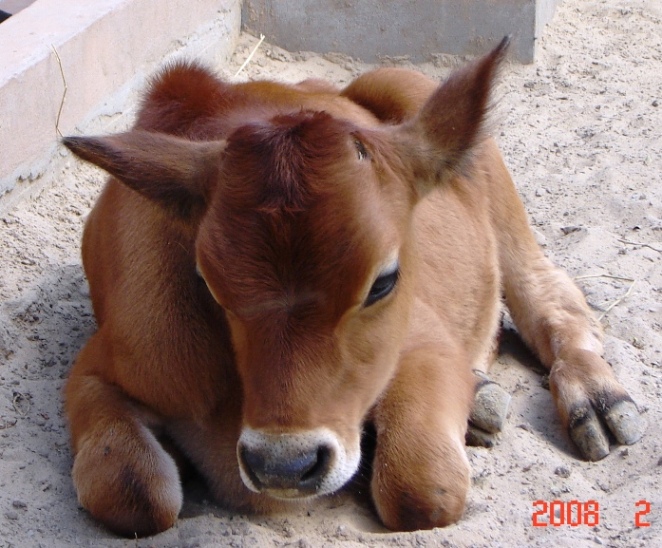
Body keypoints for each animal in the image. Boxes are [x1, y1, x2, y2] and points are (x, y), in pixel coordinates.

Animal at [62, 40, 644, 536]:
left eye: (384, 281)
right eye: (208, 283)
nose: (284, 464)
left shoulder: (425, 344)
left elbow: (422, 486)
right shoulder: (102, 366)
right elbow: (132, 492)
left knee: (549, 296)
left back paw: (594, 396)